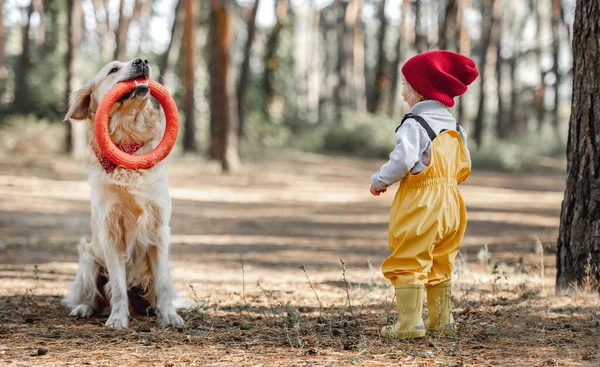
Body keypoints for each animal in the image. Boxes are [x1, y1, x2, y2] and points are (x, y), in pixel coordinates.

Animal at [61, 58, 184, 330]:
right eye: (113, 70)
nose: (142, 60)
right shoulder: (111, 234)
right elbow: (117, 286)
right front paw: (118, 318)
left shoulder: (159, 231)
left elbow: (161, 284)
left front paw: (169, 316)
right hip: (87, 260)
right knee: (94, 296)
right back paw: (83, 308)